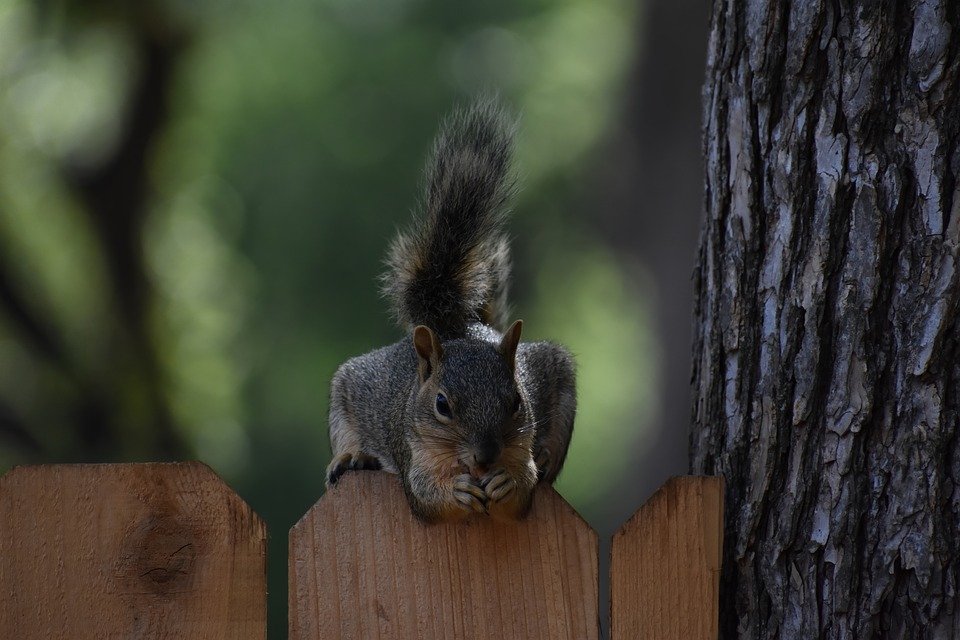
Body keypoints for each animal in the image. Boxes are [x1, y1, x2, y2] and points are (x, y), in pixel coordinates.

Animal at [326, 97, 572, 524]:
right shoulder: (412, 452)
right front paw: (453, 492)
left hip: (556, 369)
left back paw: (546, 454)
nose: (486, 457)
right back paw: (352, 455)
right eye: (442, 405)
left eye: (516, 402)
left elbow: (522, 494)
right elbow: (425, 498)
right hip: (349, 387)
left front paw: (509, 482)